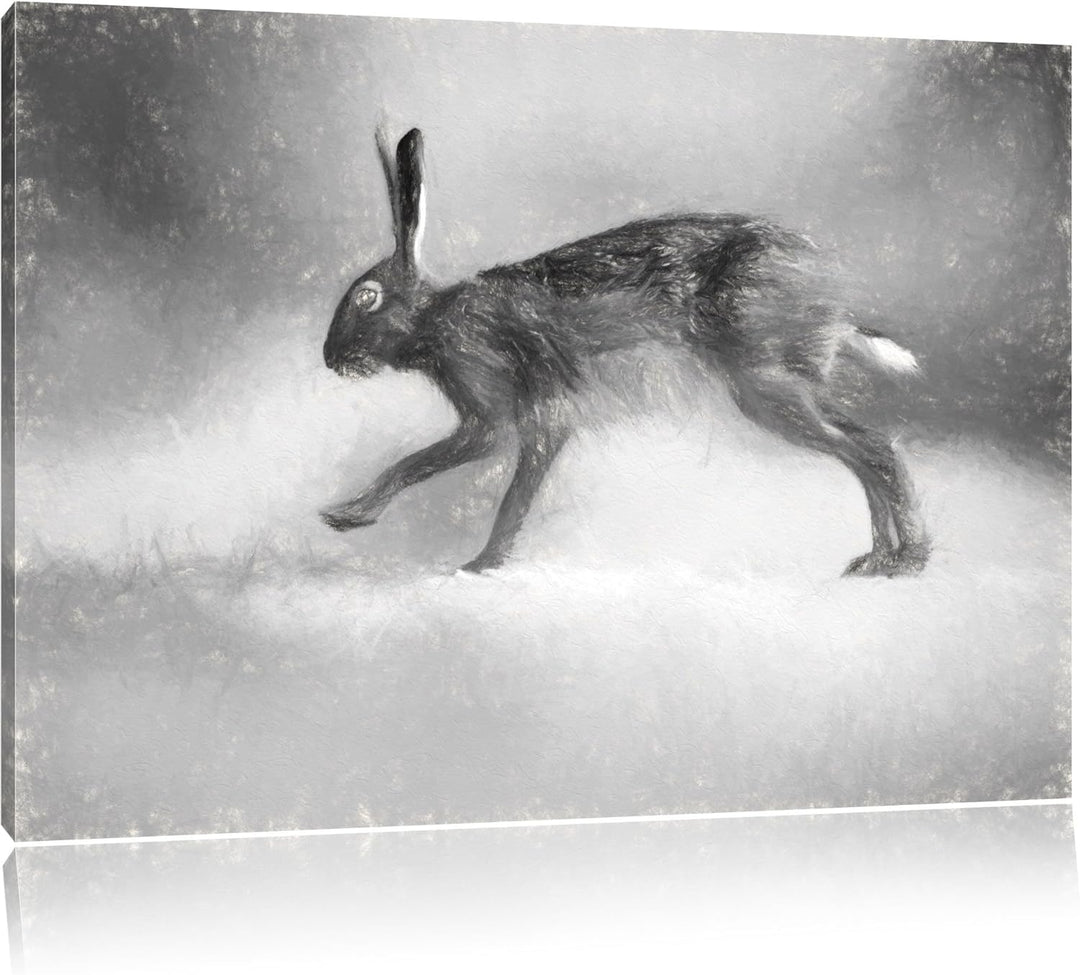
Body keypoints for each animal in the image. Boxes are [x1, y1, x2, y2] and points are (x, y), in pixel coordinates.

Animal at [321, 128, 930, 577]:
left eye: (366, 297)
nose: (329, 359)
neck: (436, 320)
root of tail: (830, 303)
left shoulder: (519, 410)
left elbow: (491, 488)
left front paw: (478, 562)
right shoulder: (500, 421)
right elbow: (434, 467)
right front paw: (349, 517)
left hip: (765, 386)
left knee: (874, 450)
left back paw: (906, 562)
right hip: (781, 387)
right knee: (867, 450)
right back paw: (878, 558)